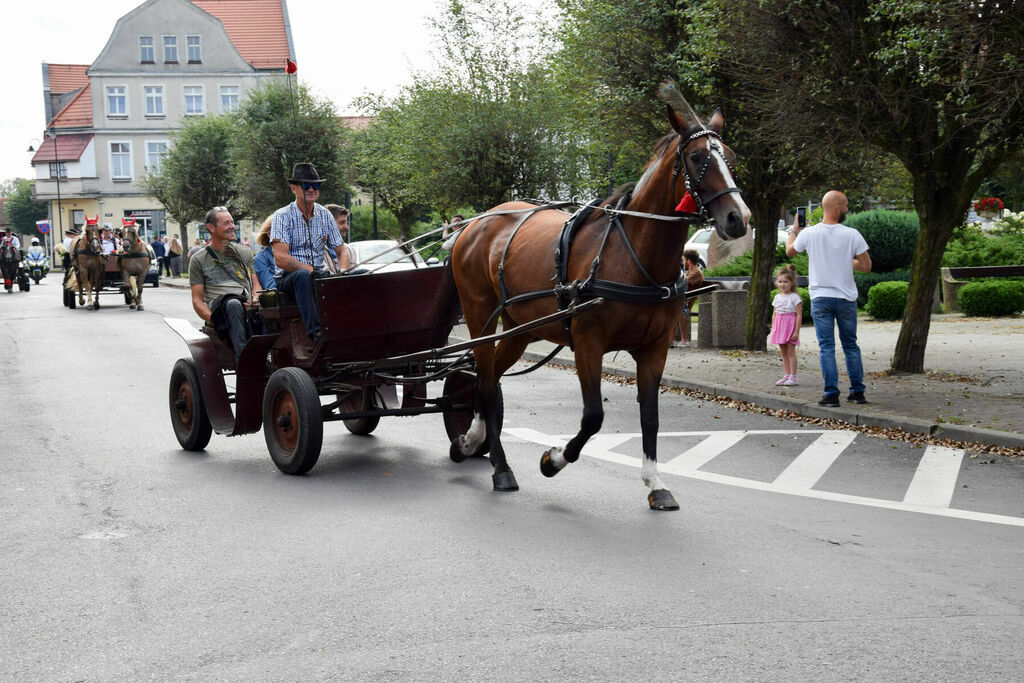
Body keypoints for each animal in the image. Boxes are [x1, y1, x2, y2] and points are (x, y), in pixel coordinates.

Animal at [452, 104, 749, 509]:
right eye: (698, 157)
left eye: (730, 158)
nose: (739, 218)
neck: (633, 252)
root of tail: (475, 223)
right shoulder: (588, 345)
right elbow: (593, 416)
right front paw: (553, 460)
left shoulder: (655, 349)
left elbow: (650, 417)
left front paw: (655, 482)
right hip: (480, 319)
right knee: (484, 383)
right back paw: (500, 467)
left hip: (518, 329)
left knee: (489, 381)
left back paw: (472, 440)